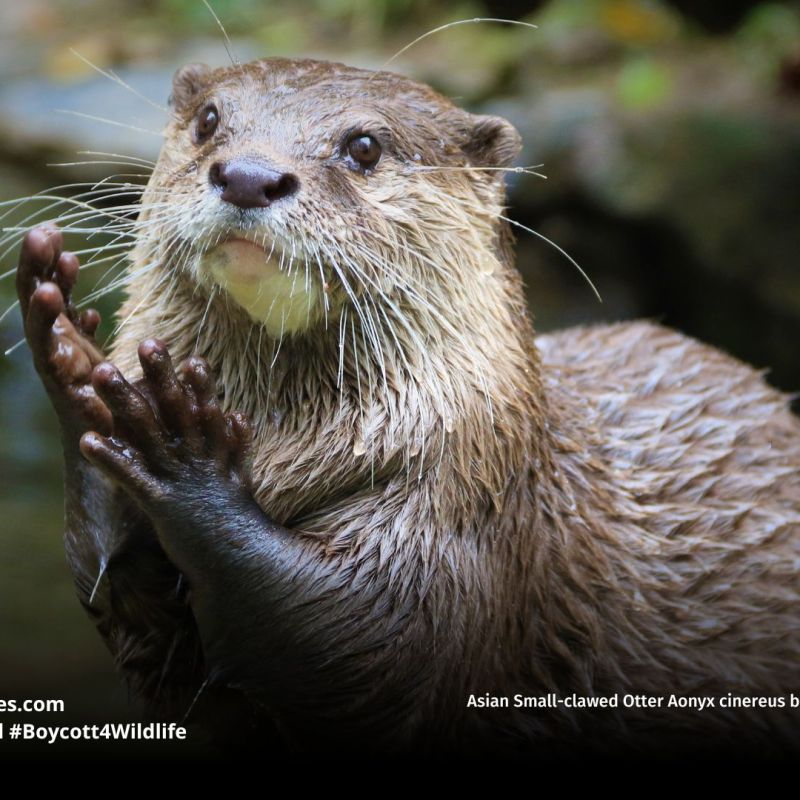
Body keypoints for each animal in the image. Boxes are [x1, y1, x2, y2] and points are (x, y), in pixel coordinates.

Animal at [15, 57, 800, 757]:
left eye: (364, 146)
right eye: (209, 120)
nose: (248, 175)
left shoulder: (464, 510)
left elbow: (362, 646)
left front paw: (187, 465)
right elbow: (144, 635)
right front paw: (74, 362)